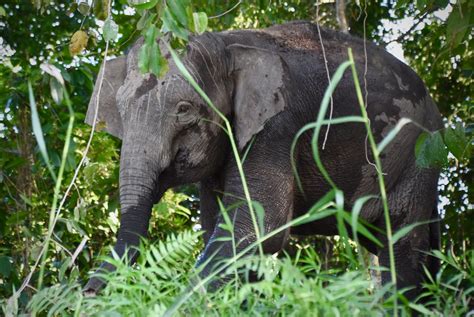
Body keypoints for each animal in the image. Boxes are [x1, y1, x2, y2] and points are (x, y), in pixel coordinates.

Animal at [83, 20, 442, 298]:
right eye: (121, 110)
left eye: (184, 110)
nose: (87, 292)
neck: (227, 45)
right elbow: (223, 229)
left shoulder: (277, 127)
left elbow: (257, 227)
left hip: (420, 153)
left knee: (401, 245)